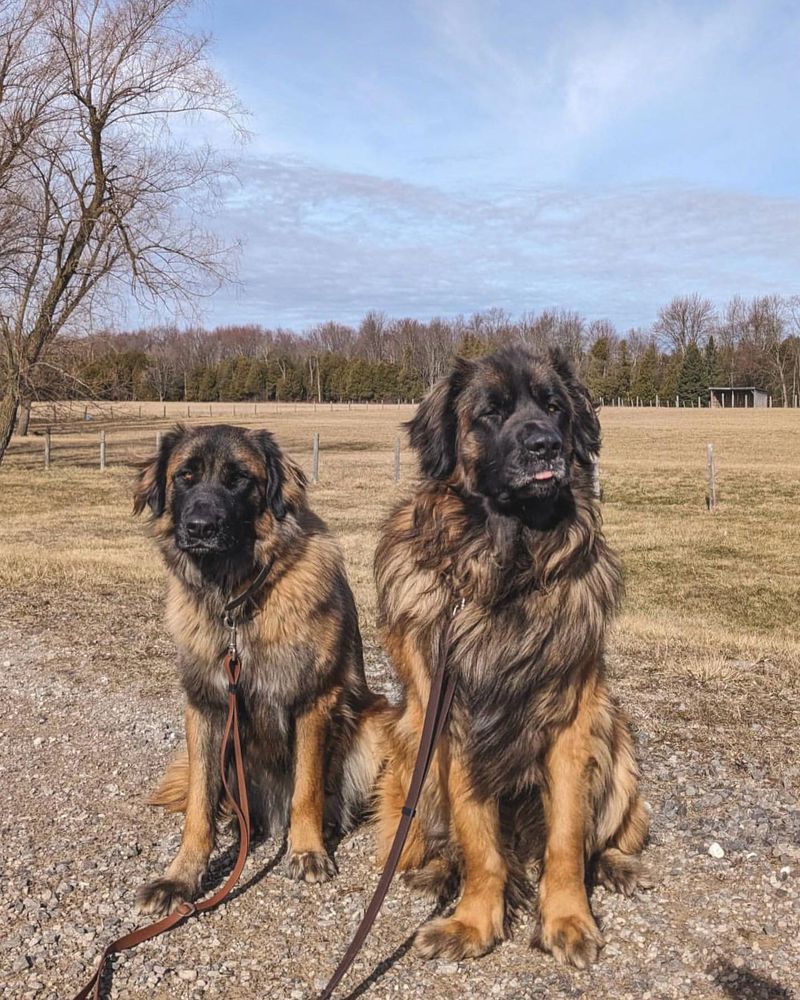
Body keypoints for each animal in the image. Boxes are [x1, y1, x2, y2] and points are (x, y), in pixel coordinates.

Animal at [133, 422, 386, 916]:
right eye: (185, 477)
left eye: (239, 480)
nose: (201, 528)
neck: (237, 601)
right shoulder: (206, 707)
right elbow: (198, 806)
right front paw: (181, 876)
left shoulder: (314, 700)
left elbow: (307, 789)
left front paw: (307, 851)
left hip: (375, 727)